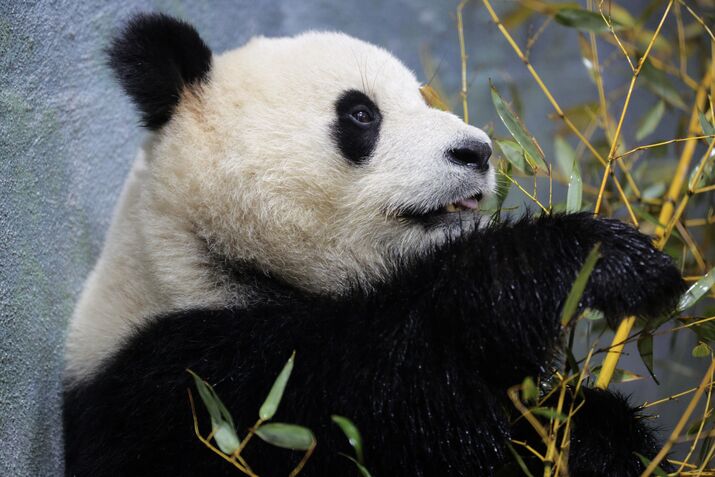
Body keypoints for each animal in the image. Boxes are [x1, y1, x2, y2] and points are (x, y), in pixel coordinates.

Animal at [64, 13, 685, 477]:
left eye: (421, 98)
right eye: (361, 113)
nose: (478, 151)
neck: (201, 256)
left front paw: (600, 433)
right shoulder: (199, 388)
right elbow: (401, 388)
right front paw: (593, 259)